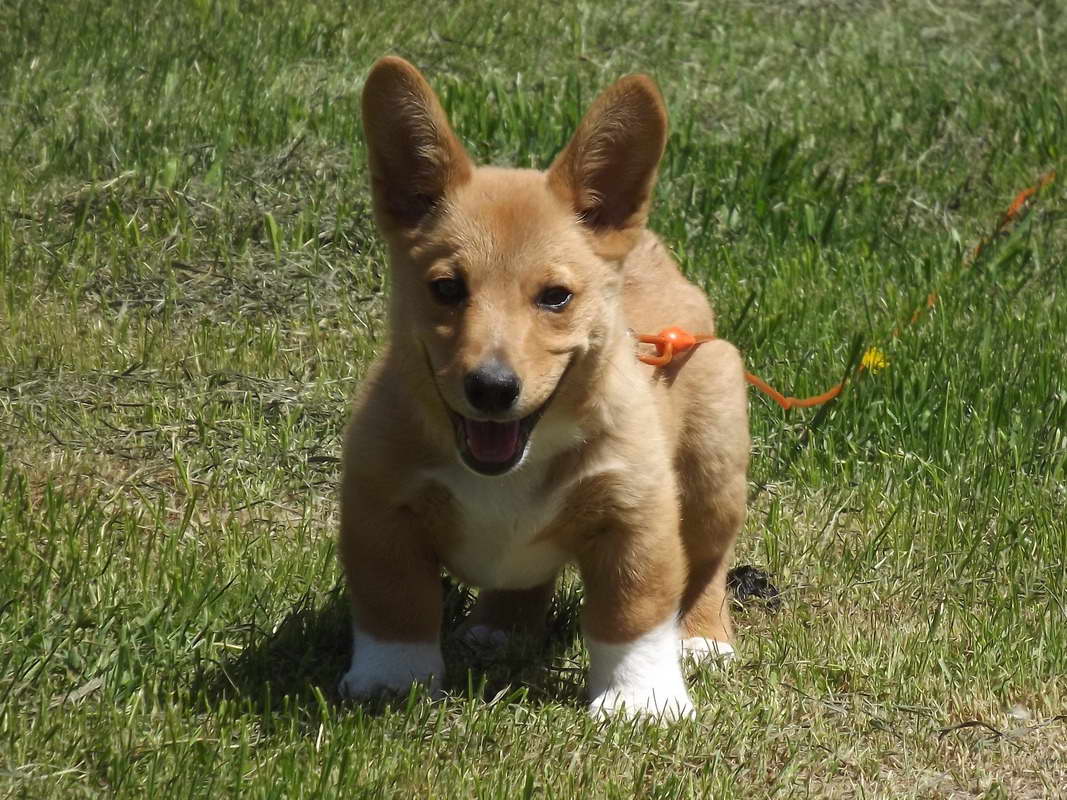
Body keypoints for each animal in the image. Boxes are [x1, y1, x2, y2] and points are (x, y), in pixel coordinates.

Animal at [339, 56, 751, 721]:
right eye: (447, 288)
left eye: (555, 297)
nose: (491, 388)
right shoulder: (379, 506)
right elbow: (393, 605)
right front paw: (391, 681)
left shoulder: (636, 517)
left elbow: (633, 612)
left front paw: (641, 701)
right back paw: (499, 628)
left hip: (712, 472)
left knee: (709, 561)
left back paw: (702, 638)